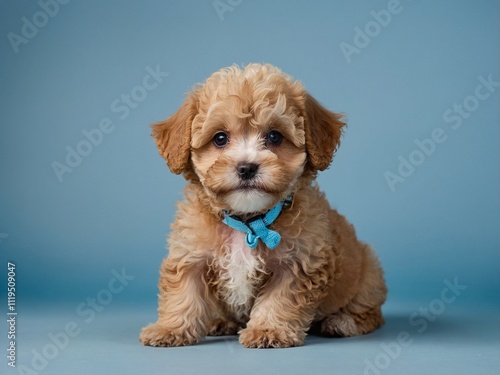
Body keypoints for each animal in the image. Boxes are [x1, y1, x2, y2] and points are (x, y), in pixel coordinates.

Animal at [141, 63, 386, 348]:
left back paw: (342, 322)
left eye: (274, 137)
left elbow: (279, 299)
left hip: (368, 272)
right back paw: (220, 322)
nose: (247, 167)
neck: (248, 222)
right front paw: (169, 328)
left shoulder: (298, 263)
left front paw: (269, 330)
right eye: (220, 138)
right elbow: (183, 294)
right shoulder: (191, 254)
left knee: (369, 312)